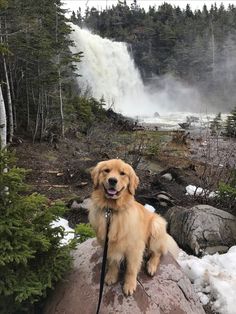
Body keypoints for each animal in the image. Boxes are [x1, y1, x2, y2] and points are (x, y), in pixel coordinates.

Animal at [88, 159, 179, 296]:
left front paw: (129, 285)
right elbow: (113, 262)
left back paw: (151, 265)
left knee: (157, 253)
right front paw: (111, 276)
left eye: (122, 173)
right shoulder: (110, 244)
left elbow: (131, 269)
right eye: (106, 170)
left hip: (156, 226)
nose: (112, 180)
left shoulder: (134, 248)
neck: (112, 211)